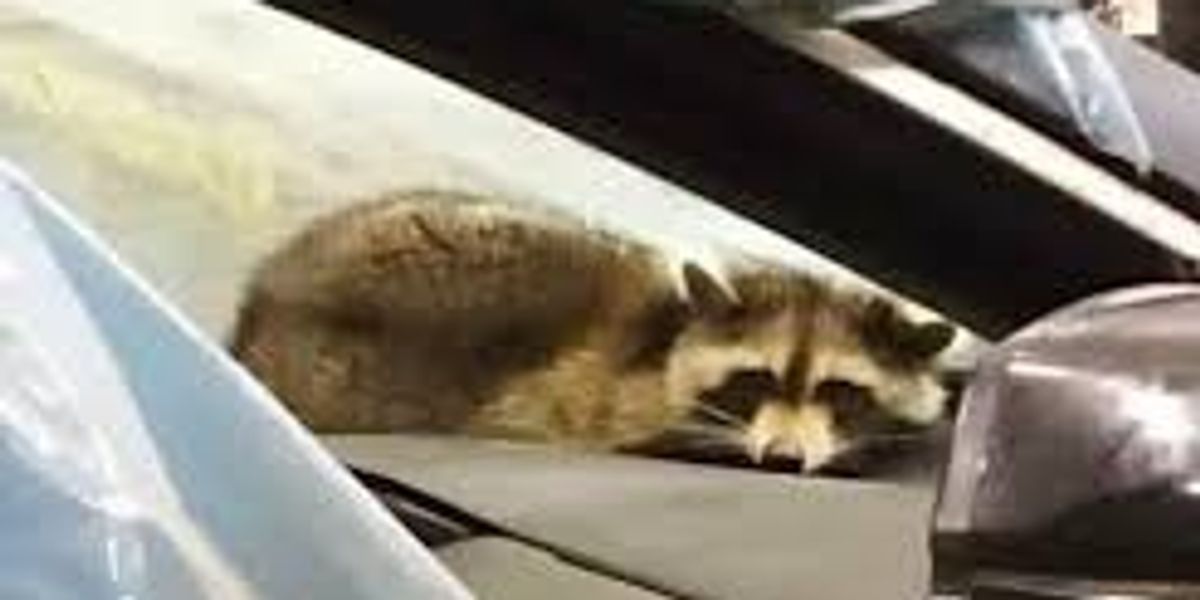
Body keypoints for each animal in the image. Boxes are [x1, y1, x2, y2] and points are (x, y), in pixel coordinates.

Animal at [230, 190, 955, 473]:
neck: (669, 335)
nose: (781, 460)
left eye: (841, 391)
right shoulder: (614, 404)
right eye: (755, 381)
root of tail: (266, 300)